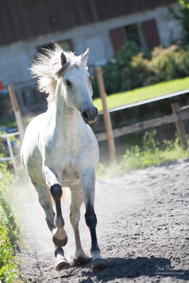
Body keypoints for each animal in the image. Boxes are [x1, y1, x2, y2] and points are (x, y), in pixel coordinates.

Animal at [21, 43, 106, 270]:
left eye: (89, 77)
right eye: (68, 82)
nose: (91, 113)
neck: (69, 137)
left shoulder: (87, 176)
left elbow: (89, 216)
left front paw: (97, 257)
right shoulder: (52, 172)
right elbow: (57, 195)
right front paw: (60, 236)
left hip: (75, 186)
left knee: (74, 216)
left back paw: (79, 255)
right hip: (38, 186)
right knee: (49, 215)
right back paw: (60, 258)